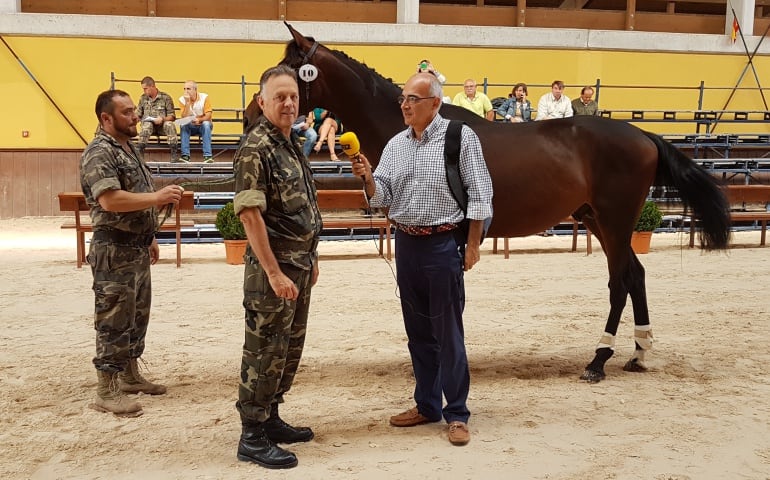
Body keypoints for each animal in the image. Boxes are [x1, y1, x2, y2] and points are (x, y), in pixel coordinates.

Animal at [243, 23, 728, 382]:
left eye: (289, 68)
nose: (251, 114)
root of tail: (642, 135)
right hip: (598, 220)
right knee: (636, 276)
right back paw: (639, 354)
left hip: (615, 219)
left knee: (621, 280)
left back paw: (598, 360)